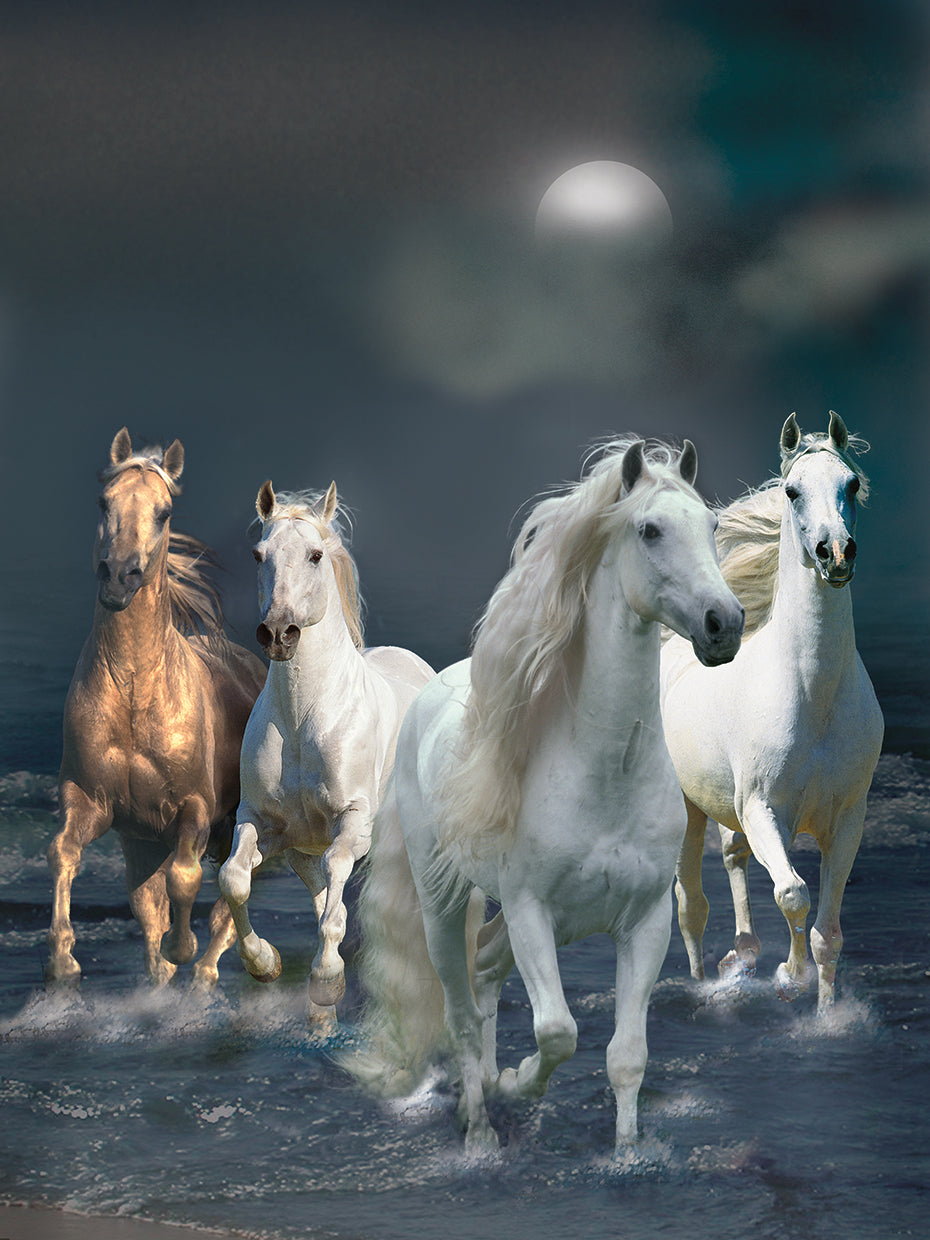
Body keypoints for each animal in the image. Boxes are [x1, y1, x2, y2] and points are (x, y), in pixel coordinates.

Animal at [47, 428, 267, 988]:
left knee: (225, 910)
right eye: (104, 502)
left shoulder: (194, 809)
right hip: (143, 844)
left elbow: (186, 880)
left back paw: (206, 974)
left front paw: (182, 948)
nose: (119, 576)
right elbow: (64, 853)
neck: (133, 694)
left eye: (164, 512)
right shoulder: (92, 800)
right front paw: (62, 959)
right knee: (149, 906)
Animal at [217, 481, 434, 1030]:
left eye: (315, 555)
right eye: (259, 555)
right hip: (300, 850)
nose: (279, 633)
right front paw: (264, 964)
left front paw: (327, 979)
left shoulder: (352, 823)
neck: (302, 720)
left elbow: (338, 882)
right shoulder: (264, 824)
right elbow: (234, 879)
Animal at [347, 438, 745, 1153]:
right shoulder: (533, 911)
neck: (606, 775)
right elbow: (557, 1031)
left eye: (712, 525)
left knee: (484, 974)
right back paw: (479, 1128)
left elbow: (626, 1056)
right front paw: (517, 1085)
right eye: (650, 530)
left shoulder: (644, 922)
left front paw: (626, 1155)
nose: (723, 624)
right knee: (460, 1008)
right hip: (443, 902)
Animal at [660, 412, 883, 1012]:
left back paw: (744, 955)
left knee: (733, 860)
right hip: (687, 808)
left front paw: (822, 1011)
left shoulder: (847, 818)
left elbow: (829, 932)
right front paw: (791, 975)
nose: (836, 553)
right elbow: (793, 894)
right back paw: (705, 982)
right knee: (691, 904)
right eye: (791, 491)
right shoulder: (765, 811)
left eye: (851, 483)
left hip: (726, 807)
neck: (813, 698)